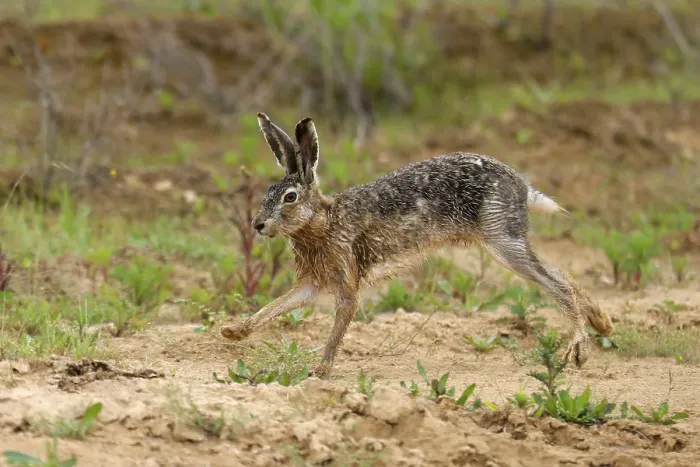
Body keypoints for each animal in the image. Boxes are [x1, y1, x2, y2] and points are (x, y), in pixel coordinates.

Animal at [220, 113, 614, 378]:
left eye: (289, 197)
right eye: (267, 193)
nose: (258, 225)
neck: (322, 221)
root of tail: (521, 185)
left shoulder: (346, 277)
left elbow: (340, 321)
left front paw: (321, 369)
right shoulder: (312, 282)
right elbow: (277, 305)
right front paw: (234, 331)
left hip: (502, 238)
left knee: (556, 281)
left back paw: (579, 349)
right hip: (507, 239)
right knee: (561, 273)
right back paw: (603, 323)